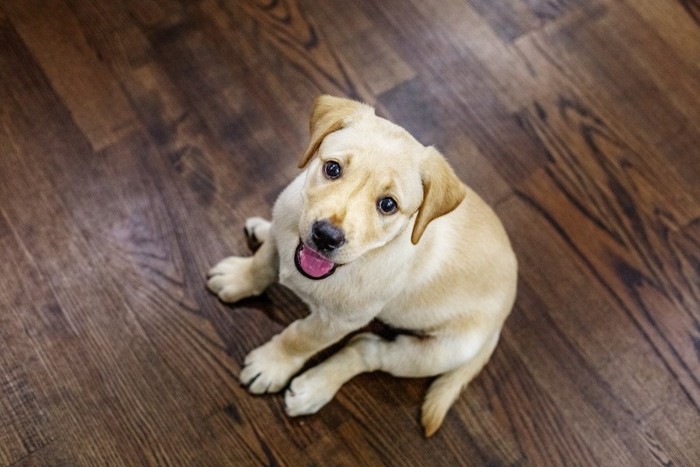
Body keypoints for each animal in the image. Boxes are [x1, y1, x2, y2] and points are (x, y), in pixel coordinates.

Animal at [205, 96, 516, 438]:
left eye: (388, 204)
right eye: (332, 168)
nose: (325, 236)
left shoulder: (338, 321)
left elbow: (299, 337)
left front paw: (271, 364)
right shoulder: (285, 238)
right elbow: (262, 264)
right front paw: (239, 278)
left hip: (438, 352)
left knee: (366, 348)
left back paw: (316, 387)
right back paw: (263, 228)